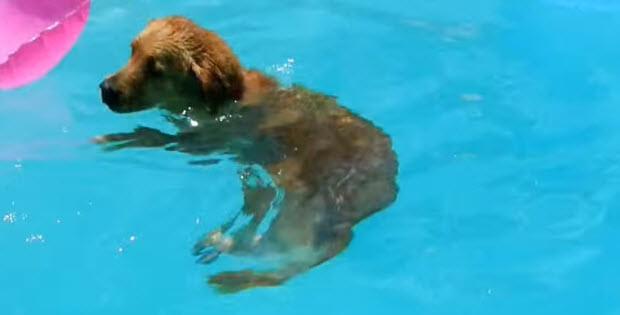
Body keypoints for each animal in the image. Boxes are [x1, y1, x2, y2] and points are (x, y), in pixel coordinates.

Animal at [97, 16, 398, 294]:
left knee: (276, 260)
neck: (225, 100)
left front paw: (120, 138)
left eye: (156, 70)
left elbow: (158, 138)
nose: (106, 89)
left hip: (295, 218)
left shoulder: (205, 143)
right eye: (132, 50)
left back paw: (225, 255)